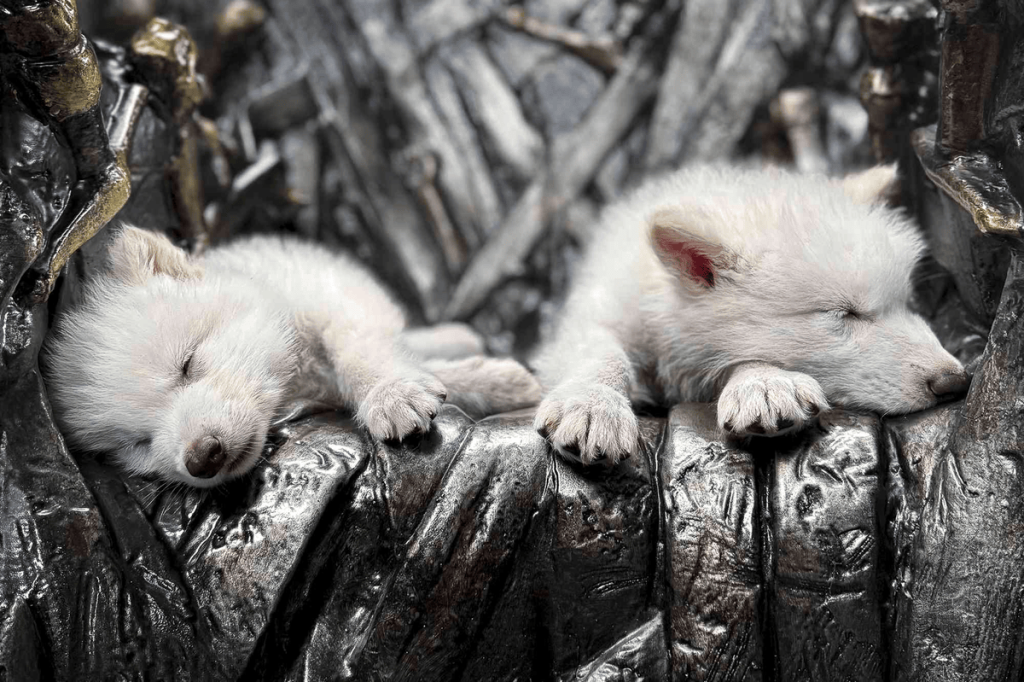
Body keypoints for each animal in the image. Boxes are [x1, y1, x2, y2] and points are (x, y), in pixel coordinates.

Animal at [42, 226, 541, 487]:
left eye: (187, 364)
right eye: (138, 444)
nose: (202, 458)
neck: (294, 381)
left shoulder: (336, 302)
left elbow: (361, 351)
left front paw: (392, 393)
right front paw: (494, 382)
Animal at [533, 164, 970, 465]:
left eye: (906, 304)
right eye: (845, 313)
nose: (956, 381)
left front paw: (763, 383)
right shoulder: (597, 312)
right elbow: (602, 352)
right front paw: (592, 404)